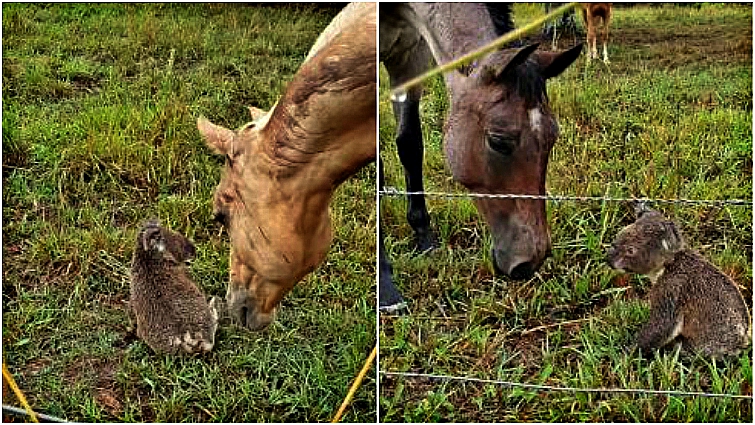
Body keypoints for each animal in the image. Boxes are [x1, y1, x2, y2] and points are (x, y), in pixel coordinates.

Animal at [379, 3, 582, 310]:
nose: (530, 260)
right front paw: (385, 285)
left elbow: (410, 145)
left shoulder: (410, 53)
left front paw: (424, 236)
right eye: (498, 141)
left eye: (552, 137)